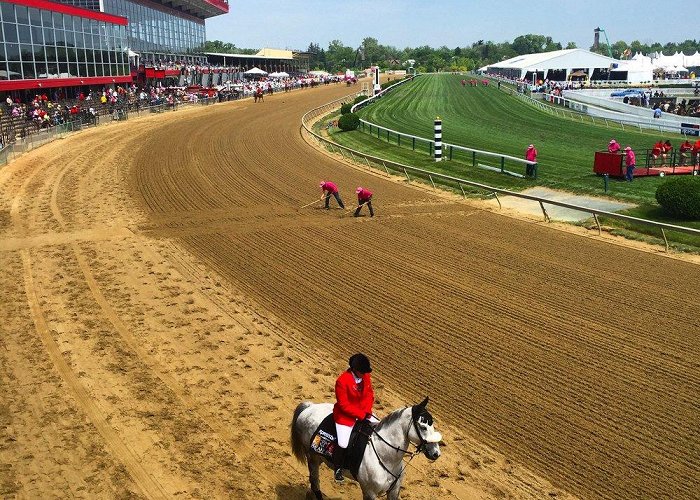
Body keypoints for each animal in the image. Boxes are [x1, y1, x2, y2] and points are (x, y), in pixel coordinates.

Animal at [292, 398, 442, 500]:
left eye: (432, 425)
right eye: (423, 427)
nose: (436, 453)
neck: (386, 457)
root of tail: (309, 408)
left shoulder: (394, 492)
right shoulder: (370, 492)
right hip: (312, 457)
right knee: (314, 481)